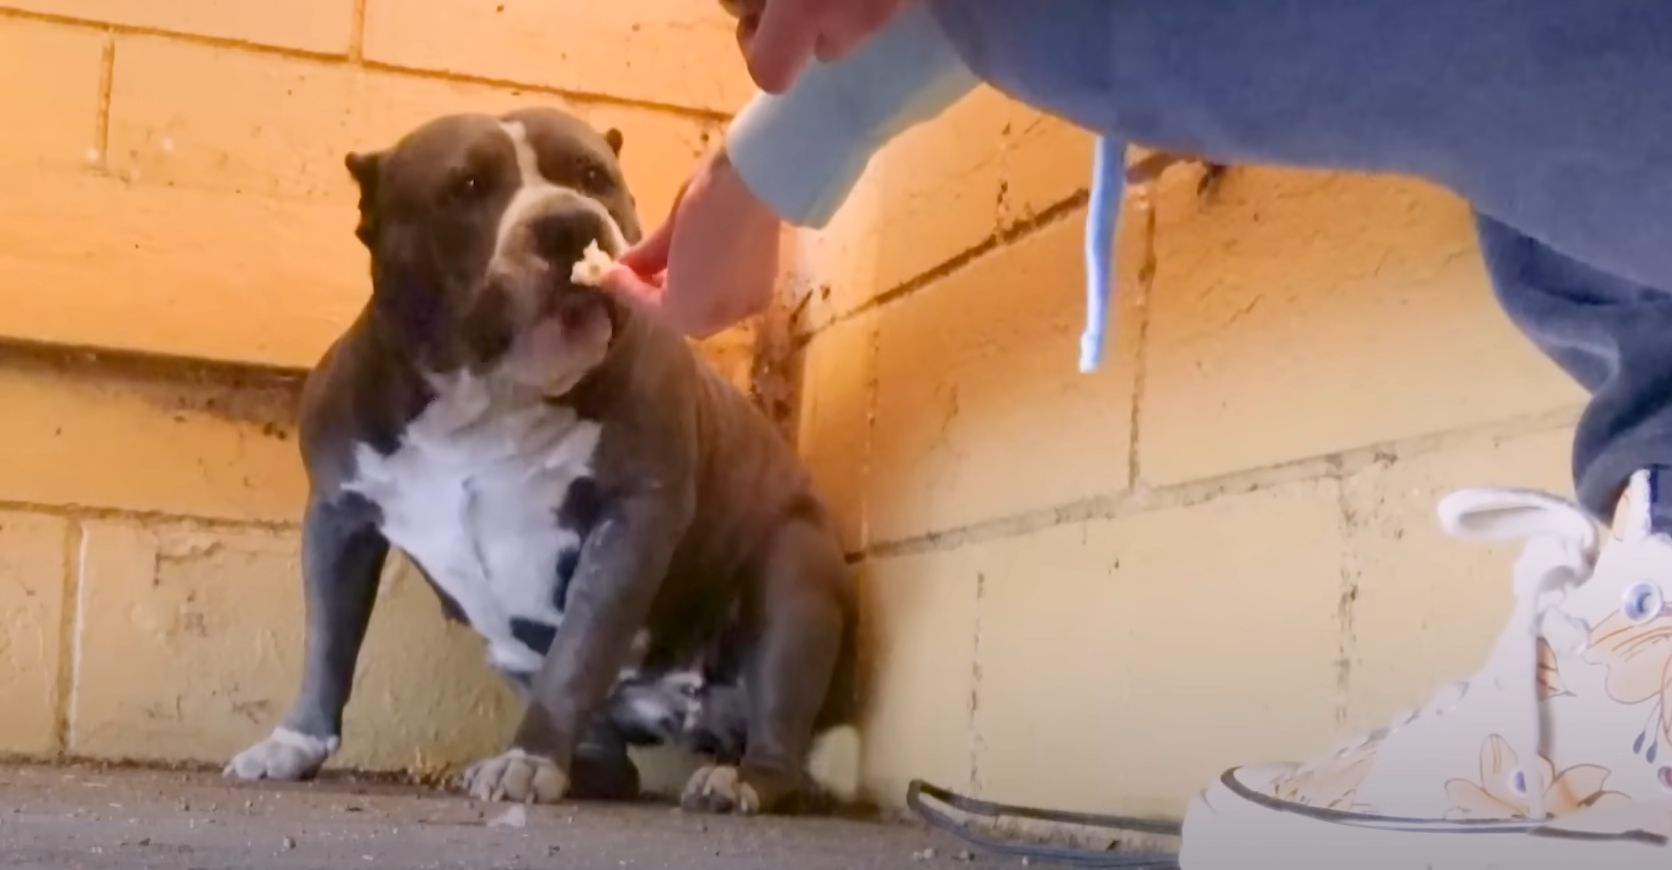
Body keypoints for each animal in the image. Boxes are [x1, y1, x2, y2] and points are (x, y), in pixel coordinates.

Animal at [224, 107, 862, 816]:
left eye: (593, 177)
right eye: (467, 186)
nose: (570, 223)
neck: (489, 400)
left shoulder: (631, 519)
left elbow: (576, 657)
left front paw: (528, 760)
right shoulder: (337, 517)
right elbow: (327, 645)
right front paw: (295, 742)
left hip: (793, 583)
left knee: (779, 738)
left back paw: (735, 780)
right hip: (512, 656)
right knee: (614, 761)